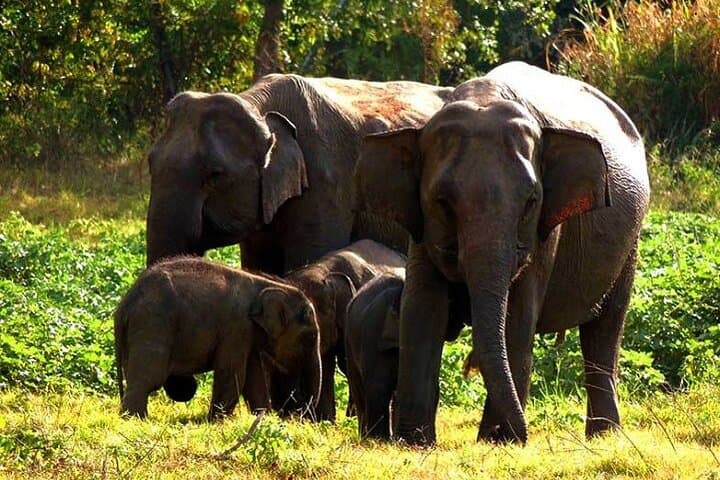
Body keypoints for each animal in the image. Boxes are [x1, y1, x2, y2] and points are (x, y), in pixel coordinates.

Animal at [114, 256, 321, 421]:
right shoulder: (236, 327)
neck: (268, 285)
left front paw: (263, 419)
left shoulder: (248, 333)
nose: (299, 416)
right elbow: (232, 372)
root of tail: (125, 304)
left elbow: (254, 376)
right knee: (149, 378)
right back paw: (136, 420)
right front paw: (215, 421)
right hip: (153, 324)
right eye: (310, 336)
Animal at [277, 239, 406, 422]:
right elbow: (326, 363)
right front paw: (325, 421)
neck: (322, 270)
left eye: (310, 333)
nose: (297, 416)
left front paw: (348, 418)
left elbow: (344, 362)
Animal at [345, 273, 404, 439]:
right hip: (349, 342)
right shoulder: (374, 330)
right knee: (358, 388)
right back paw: (364, 436)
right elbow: (379, 384)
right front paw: (379, 439)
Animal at [355, 61, 650, 445]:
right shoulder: (420, 227)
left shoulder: (544, 233)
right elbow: (422, 307)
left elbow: (518, 315)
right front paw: (415, 442)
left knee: (605, 328)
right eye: (442, 203)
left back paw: (604, 437)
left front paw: (500, 440)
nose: (527, 434)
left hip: (630, 243)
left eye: (531, 202)